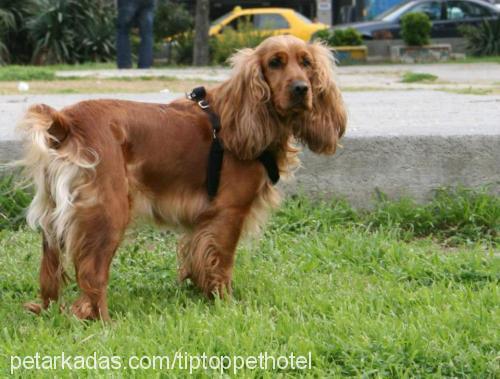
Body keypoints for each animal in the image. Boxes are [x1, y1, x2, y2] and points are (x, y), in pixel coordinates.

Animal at [17, 35, 346, 320]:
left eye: (306, 62)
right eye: (275, 63)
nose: (301, 88)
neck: (244, 115)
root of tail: (67, 123)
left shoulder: (202, 221)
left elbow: (197, 258)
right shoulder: (229, 212)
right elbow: (221, 263)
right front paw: (226, 304)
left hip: (53, 217)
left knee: (50, 274)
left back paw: (46, 309)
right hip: (108, 212)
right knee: (91, 276)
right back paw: (104, 322)